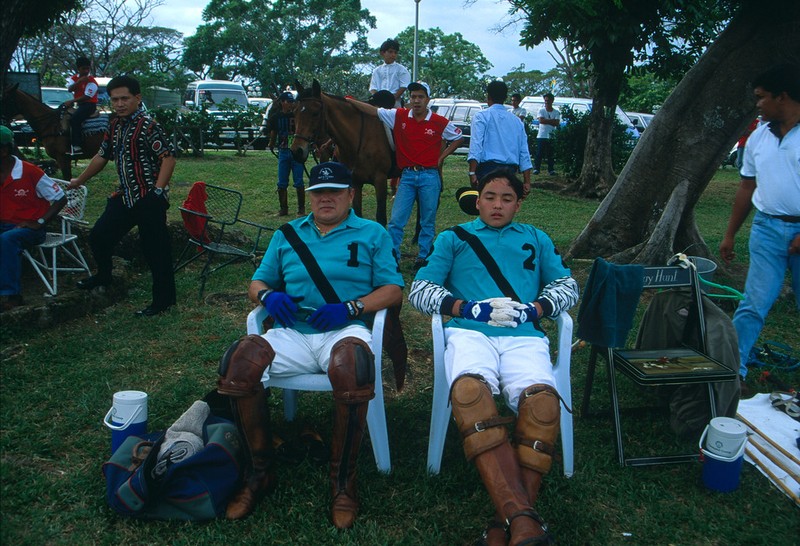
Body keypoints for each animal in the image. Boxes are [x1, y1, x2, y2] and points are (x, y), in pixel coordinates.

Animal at [292, 79, 396, 224]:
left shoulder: (380, 180)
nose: (297, 151)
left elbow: (381, 218)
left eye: (315, 113)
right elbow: (357, 213)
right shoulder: (356, 181)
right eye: (294, 112)